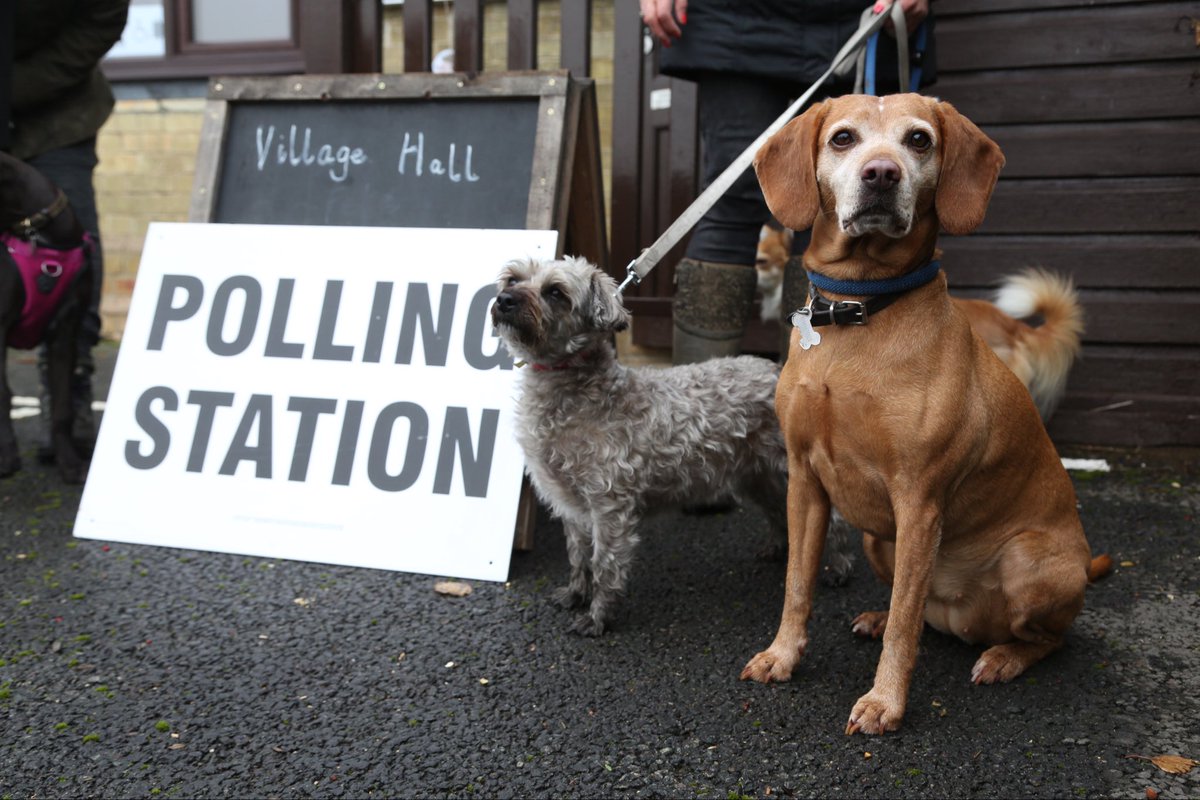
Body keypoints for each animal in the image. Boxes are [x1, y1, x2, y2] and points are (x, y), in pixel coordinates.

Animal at [739, 90, 1104, 734]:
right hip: (876, 540)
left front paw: (885, 701)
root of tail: (963, 619)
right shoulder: (804, 484)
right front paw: (782, 656)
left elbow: (907, 625)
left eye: (918, 141)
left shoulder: (919, 500)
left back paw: (1003, 656)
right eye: (843, 138)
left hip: (1028, 561)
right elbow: (797, 585)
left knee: (1039, 637)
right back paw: (883, 617)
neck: (859, 312)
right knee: (921, 614)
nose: (882, 174)